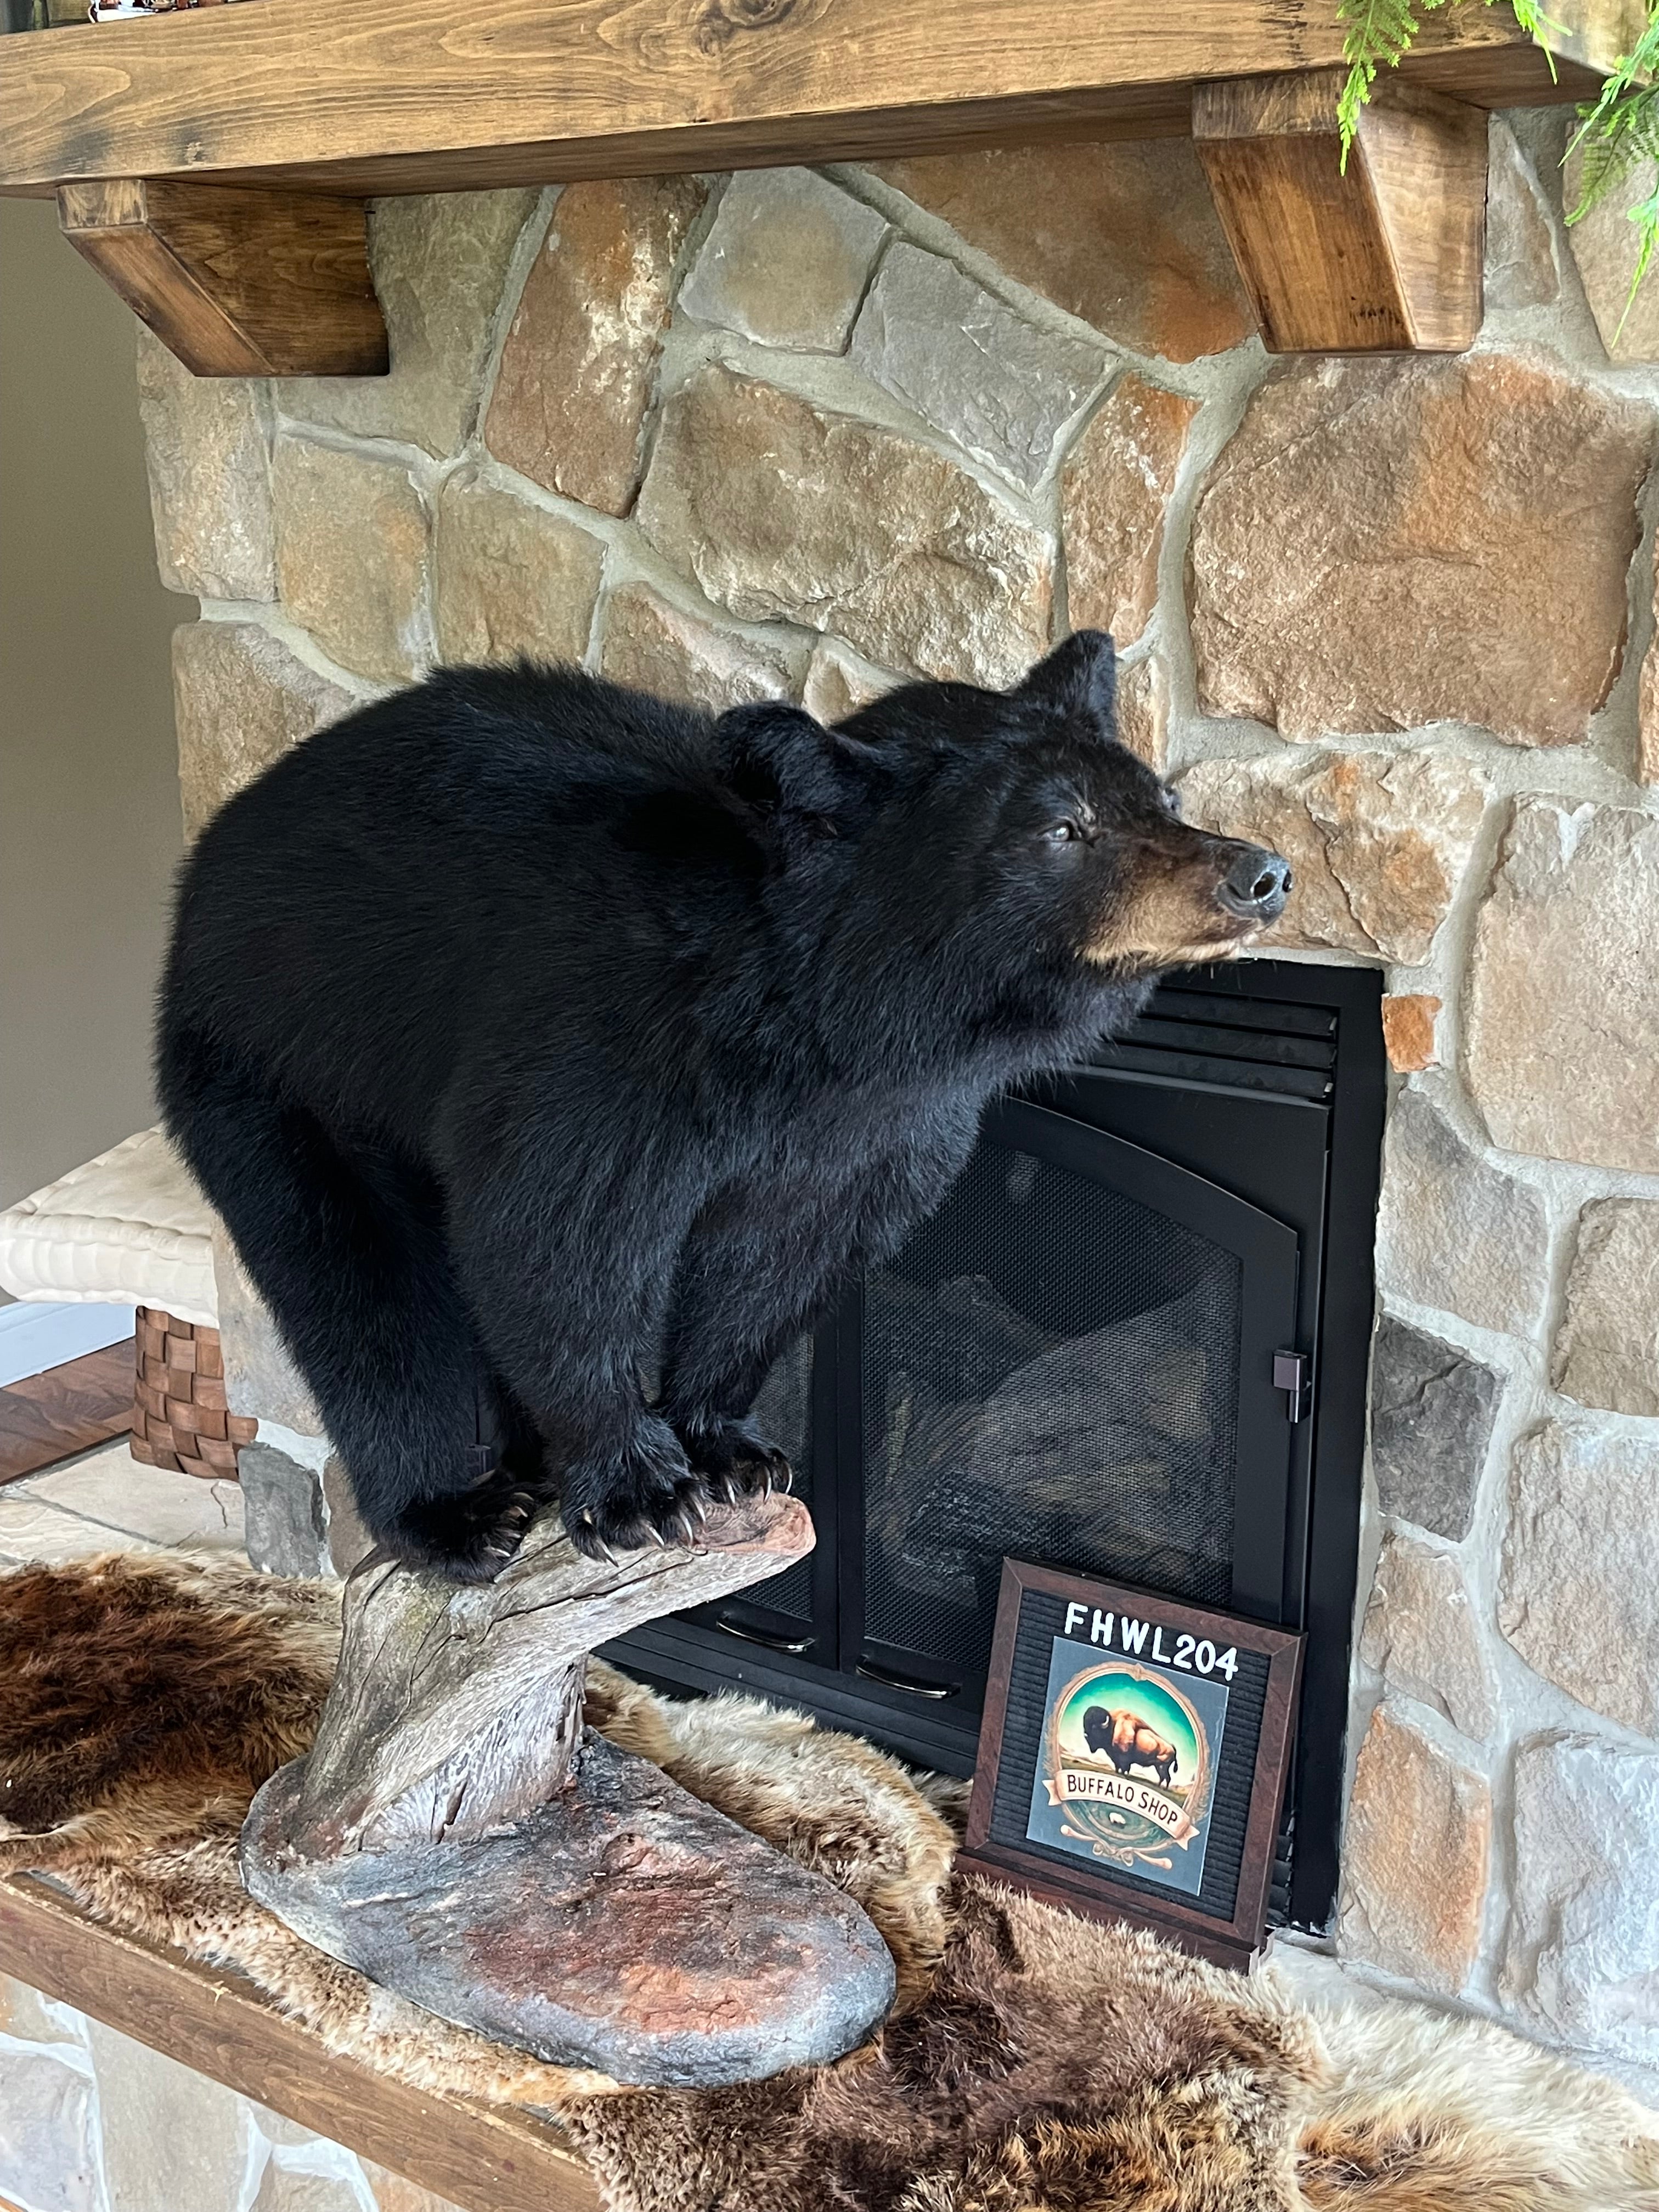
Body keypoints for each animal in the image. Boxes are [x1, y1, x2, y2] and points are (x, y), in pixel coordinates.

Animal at [157, 631, 1289, 1579]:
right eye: (1061, 827)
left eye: (1159, 795)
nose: (1259, 871)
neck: (833, 1034)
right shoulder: (611, 1053)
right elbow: (557, 1243)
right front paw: (634, 1486)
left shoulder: (880, 1136)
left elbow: (775, 1264)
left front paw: (725, 1446)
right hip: (279, 1071)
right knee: (364, 1294)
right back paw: (456, 1513)